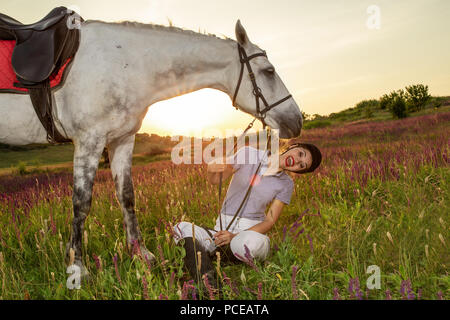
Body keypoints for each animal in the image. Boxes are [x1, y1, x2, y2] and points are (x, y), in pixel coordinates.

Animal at [0, 20, 304, 276]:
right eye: (269, 71)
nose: (297, 120)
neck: (123, 64)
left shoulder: (122, 139)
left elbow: (127, 197)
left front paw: (141, 254)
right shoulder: (88, 140)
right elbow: (81, 203)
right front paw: (77, 267)